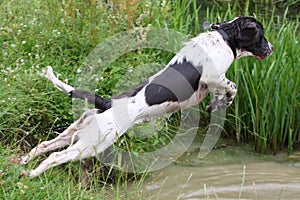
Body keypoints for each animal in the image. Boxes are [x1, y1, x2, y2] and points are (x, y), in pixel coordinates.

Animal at [21, 16, 274, 177]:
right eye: (261, 35)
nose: (271, 48)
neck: (223, 37)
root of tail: (107, 102)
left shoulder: (210, 85)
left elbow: (222, 94)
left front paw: (218, 104)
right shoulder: (214, 77)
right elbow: (233, 86)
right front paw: (224, 101)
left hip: (76, 131)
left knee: (44, 145)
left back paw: (22, 162)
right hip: (92, 144)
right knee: (55, 157)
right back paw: (31, 173)